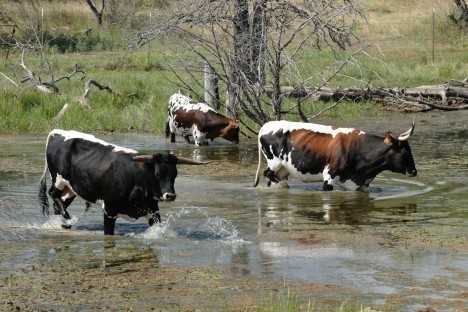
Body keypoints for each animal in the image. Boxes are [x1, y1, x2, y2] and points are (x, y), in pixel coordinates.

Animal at [39, 129, 207, 234]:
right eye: (157, 174)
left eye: (175, 174)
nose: (170, 195)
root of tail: (56, 132)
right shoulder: (109, 210)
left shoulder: (153, 211)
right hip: (58, 179)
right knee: (53, 194)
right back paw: (67, 218)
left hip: (71, 189)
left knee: (60, 202)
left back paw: (62, 223)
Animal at [252, 120, 416, 191]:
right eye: (404, 151)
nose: (414, 171)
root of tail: (266, 125)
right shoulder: (329, 175)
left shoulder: (360, 184)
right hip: (273, 163)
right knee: (270, 175)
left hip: (283, 169)